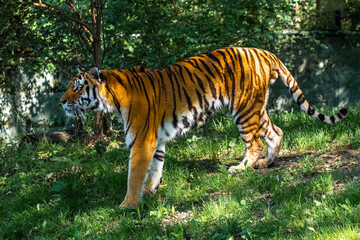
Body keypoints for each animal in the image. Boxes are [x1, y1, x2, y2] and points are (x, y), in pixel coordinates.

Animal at [60, 47, 348, 208]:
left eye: (78, 87)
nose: (62, 101)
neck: (114, 99)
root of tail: (265, 52)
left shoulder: (141, 141)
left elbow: (134, 175)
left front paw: (128, 205)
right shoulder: (156, 142)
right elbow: (155, 168)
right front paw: (151, 192)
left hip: (244, 109)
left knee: (254, 143)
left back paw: (242, 167)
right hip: (257, 108)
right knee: (276, 133)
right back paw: (266, 163)